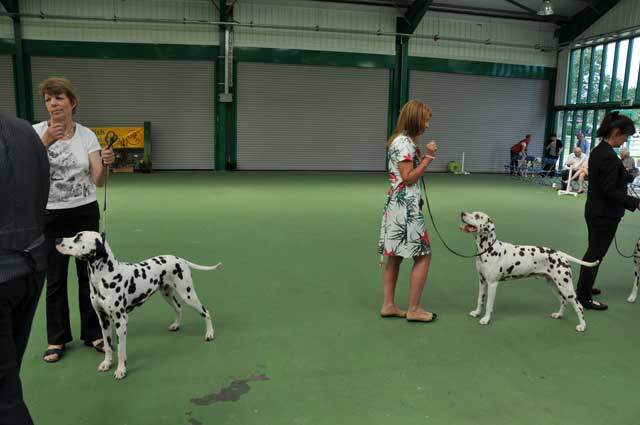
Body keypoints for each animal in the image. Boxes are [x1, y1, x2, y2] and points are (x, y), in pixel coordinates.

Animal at [56, 231, 222, 379]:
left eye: (78, 237)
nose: (57, 240)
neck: (105, 276)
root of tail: (181, 259)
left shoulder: (121, 321)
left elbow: (121, 351)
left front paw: (121, 370)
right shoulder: (103, 320)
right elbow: (108, 347)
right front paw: (107, 363)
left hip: (188, 295)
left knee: (206, 312)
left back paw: (209, 334)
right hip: (167, 294)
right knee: (178, 308)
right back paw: (176, 325)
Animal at [460, 212, 600, 332]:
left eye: (477, 216)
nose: (462, 213)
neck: (489, 248)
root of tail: (561, 254)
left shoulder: (492, 284)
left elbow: (489, 304)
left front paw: (486, 319)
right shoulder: (482, 281)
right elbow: (480, 299)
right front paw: (477, 313)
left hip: (566, 287)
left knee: (579, 306)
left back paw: (582, 326)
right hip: (554, 285)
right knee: (563, 301)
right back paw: (559, 315)